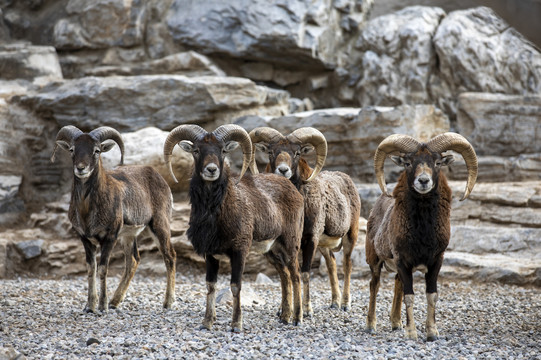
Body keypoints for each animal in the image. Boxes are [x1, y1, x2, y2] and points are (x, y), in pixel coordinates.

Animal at [51, 126, 175, 312]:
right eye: (72, 150)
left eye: (96, 150)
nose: (81, 168)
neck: (88, 211)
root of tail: (158, 176)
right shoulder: (85, 239)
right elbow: (91, 269)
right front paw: (90, 306)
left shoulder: (109, 238)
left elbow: (103, 269)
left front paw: (102, 306)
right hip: (129, 236)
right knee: (133, 260)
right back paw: (115, 302)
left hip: (159, 226)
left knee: (170, 256)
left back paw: (168, 303)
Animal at [162, 124, 304, 332]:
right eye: (196, 150)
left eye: (222, 150)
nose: (211, 169)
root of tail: (292, 188)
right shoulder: (211, 255)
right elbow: (210, 285)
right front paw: (207, 323)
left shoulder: (239, 252)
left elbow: (236, 286)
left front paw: (236, 325)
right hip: (271, 250)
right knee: (285, 276)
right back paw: (285, 317)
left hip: (290, 244)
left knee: (295, 276)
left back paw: (297, 319)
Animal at [248, 126, 358, 316]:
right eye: (270, 151)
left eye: (297, 152)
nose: (283, 170)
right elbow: (286, 275)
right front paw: (284, 310)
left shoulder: (309, 240)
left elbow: (304, 273)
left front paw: (306, 311)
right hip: (323, 246)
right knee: (331, 264)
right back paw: (334, 302)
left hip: (349, 236)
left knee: (347, 264)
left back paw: (345, 304)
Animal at [364, 132, 474, 340]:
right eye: (408, 163)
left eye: (437, 162)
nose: (423, 181)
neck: (423, 232)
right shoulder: (403, 261)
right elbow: (410, 296)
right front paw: (412, 334)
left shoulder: (436, 261)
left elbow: (431, 295)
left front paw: (431, 333)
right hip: (375, 261)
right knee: (374, 285)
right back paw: (371, 326)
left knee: (396, 284)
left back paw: (396, 324)